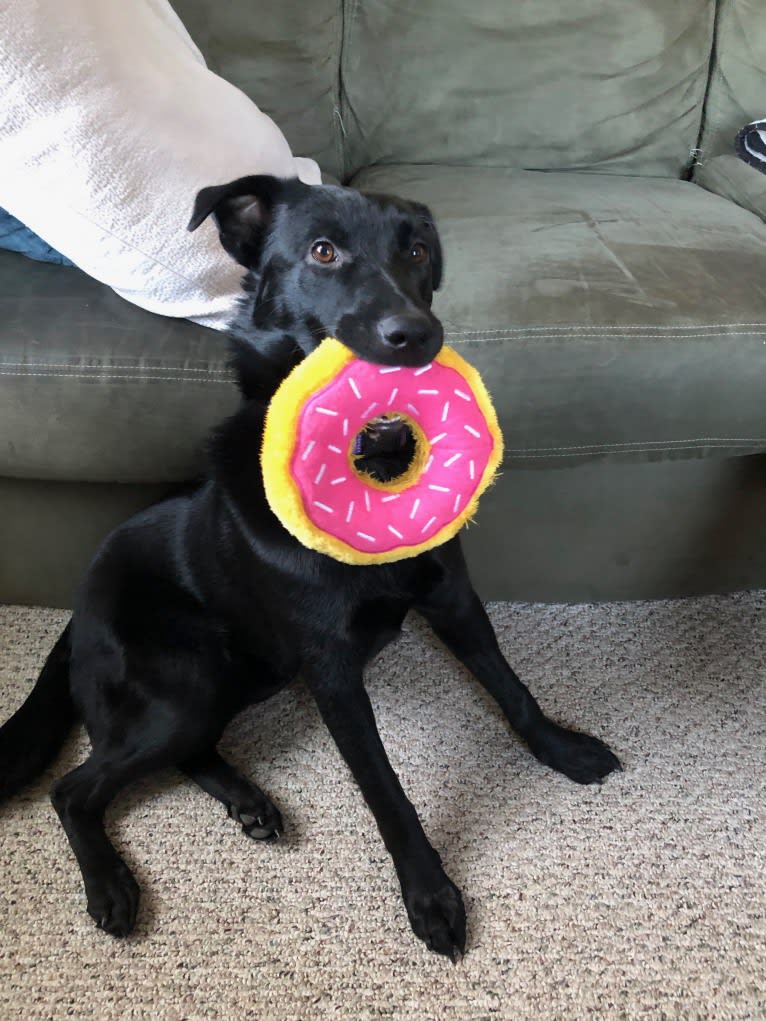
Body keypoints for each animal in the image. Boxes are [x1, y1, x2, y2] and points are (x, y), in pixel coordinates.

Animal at [0, 173, 620, 955]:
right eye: (323, 252)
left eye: (417, 251)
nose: (417, 335)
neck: (370, 470)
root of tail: (75, 617)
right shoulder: (331, 670)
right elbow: (384, 788)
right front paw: (429, 894)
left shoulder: (453, 598)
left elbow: (511, 686)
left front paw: (562, 749)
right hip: (190, 681)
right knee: (75, 788)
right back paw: (110, 885)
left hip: (245, 676)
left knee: (186, 751)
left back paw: (248, 802)